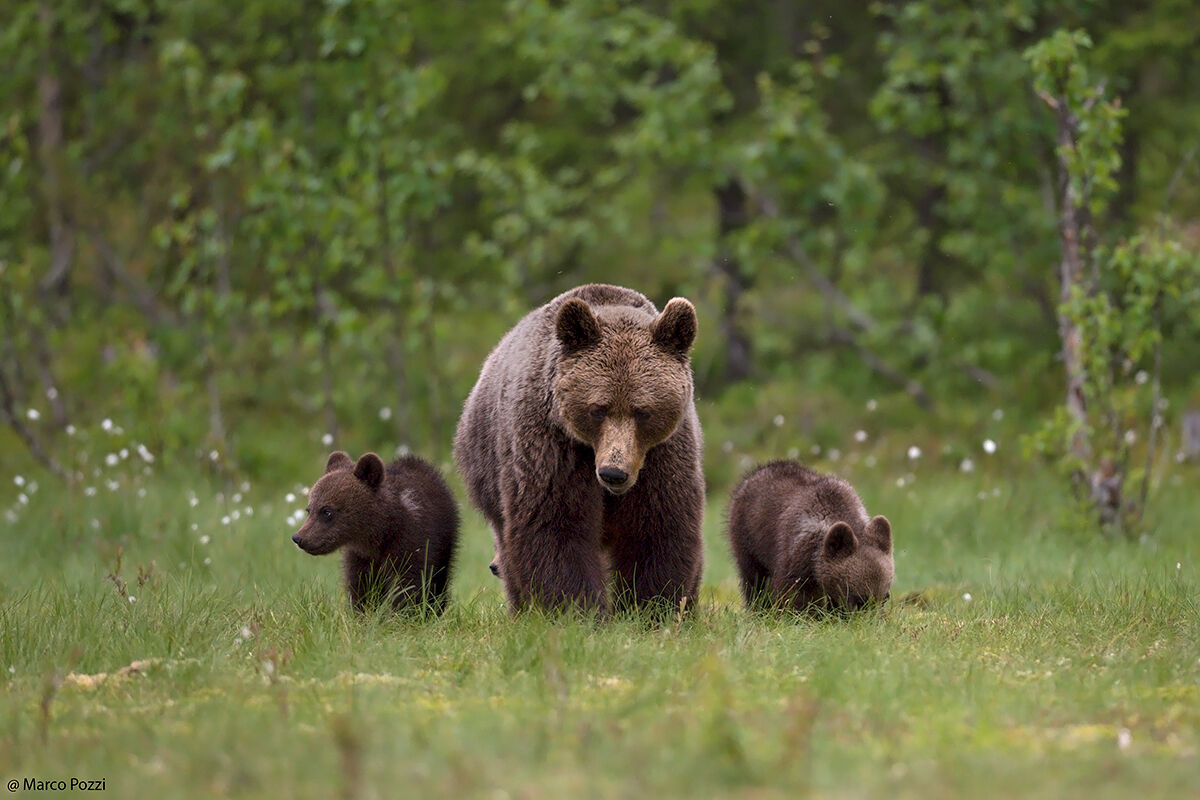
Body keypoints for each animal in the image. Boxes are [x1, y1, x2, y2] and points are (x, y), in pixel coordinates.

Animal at [292, 451, 459, 613]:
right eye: (309, 509)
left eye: (326, 511)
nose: (298, 537)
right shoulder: (360, 556)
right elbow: (361, 586)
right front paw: (363, 612)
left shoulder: (412, 540)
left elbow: (410, 583)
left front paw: (405, 614)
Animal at [454, 283, 705, 615]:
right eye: (598, 409)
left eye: (643, 411)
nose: (613, 473)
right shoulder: (553, 446)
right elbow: (557, 524)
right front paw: (576, 609)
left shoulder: (662, 453)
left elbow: (657, 524)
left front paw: (650, 607)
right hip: (488, 465)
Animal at [726, 460, 893, 613]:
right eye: (860, 600)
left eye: (885, 597)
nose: (873, 620)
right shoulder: (797, 555)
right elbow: (795, 593)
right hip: (748, 538)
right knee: (754, 578)